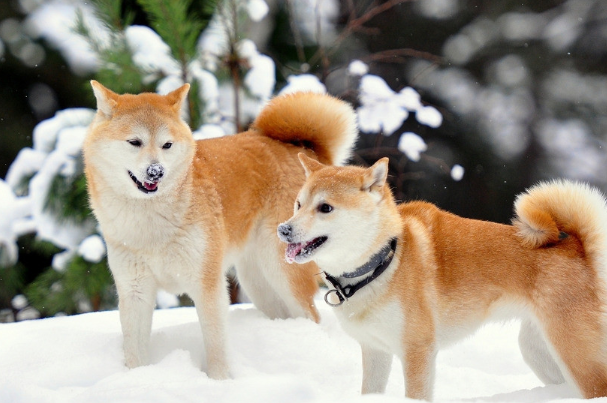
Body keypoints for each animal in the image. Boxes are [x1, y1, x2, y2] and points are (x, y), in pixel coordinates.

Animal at [80, 83, 356, 380]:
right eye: (134, 142)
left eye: (167, 145)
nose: (156, 172)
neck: (151, 225)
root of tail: (304, 151)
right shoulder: (135, 290)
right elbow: (134, 351)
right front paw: (136, 379)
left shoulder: (207, 284)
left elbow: (215, 344)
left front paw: (219, 381)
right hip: (258, 283)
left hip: (283, 274)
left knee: (311, 316)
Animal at [278, 154, 607, 400]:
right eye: (298, 204)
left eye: (325, 208)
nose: (284, 229)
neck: (382, 262)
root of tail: (578, 249)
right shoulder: (375, 351)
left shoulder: (418, 351)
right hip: (539, 352)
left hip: (576, 355)